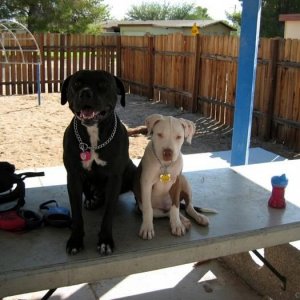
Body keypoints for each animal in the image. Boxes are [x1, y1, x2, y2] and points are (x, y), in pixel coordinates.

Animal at [61, 69, 136, 254]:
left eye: (103, 84)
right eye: (76, 84)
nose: (85, 93)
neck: (94, 135)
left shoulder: (114, 178)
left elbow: (108, 213)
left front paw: (105, 240)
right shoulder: (73, 177)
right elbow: (76, 214)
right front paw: (75, 240)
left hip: (131, 171)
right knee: (89, 193)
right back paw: (91, 199)